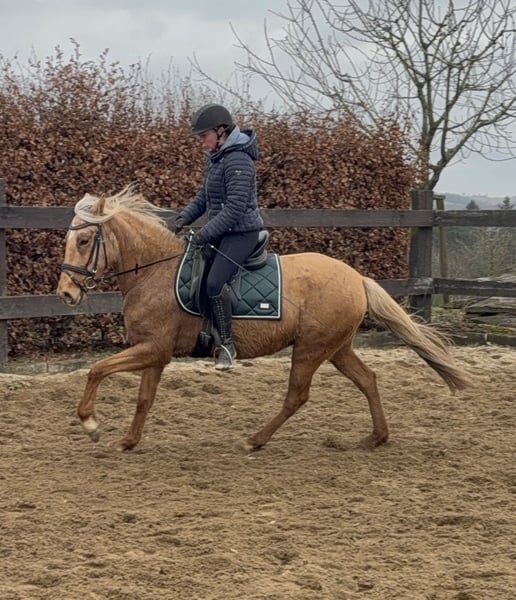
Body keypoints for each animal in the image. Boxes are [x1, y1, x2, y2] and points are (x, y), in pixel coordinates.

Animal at [56, 185, 470, 452]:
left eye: (84, 241)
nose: (66, 294)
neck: (155, 272)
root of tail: (357, 278)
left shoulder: (152, 349)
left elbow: (97, 370)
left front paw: (91, 424)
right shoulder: (154, 353)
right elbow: (144, 399)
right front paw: (127, 441)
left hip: (310, 350)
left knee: (297, 396)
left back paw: (254, 439)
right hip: (336, 348)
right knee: (367, 379)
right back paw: (375, 438)